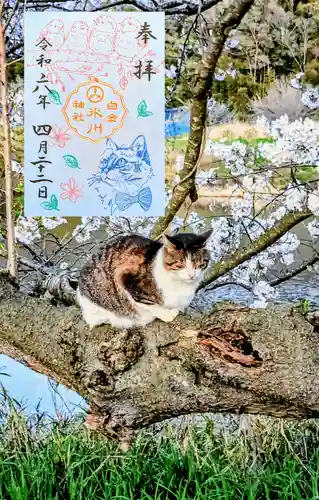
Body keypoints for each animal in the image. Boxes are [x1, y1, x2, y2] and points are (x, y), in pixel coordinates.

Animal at [76, 231, 214, 332]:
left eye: (199, 264)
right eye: (180, 264)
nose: (192, 275)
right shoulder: (124, 277)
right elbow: (148, 303)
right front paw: (168, 315)